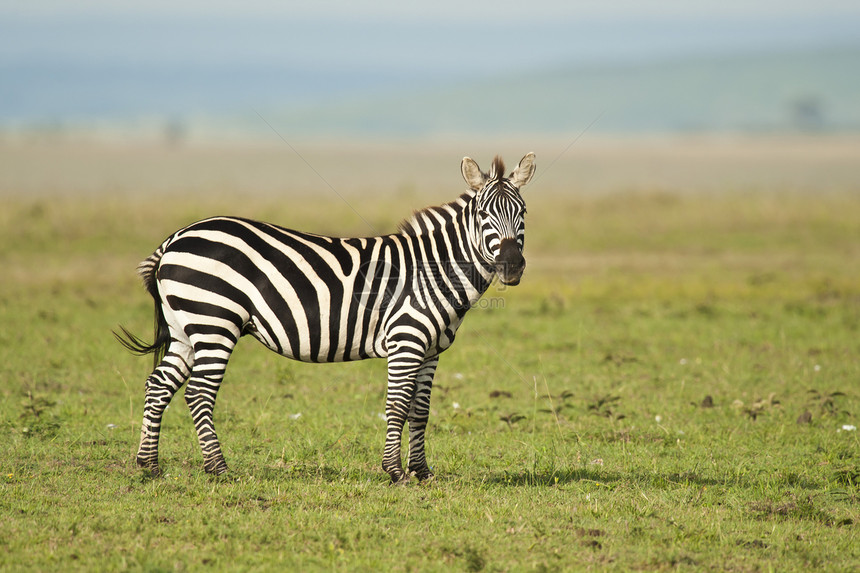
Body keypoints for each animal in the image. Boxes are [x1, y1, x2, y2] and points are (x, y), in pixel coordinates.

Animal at [117, 152, 536, 482]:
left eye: (523, 213)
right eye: (482, 214)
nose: (512, 267)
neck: (433, 270)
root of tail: (175, 238)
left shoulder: (431, 349)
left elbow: (420, 410)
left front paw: (422, 471)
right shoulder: (406, 340)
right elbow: (397, 405)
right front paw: (395, 472)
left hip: (185, 328)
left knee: (159, 385)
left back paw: (149, 464)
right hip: (214, 323)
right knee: (199, 392)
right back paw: (218, 469)